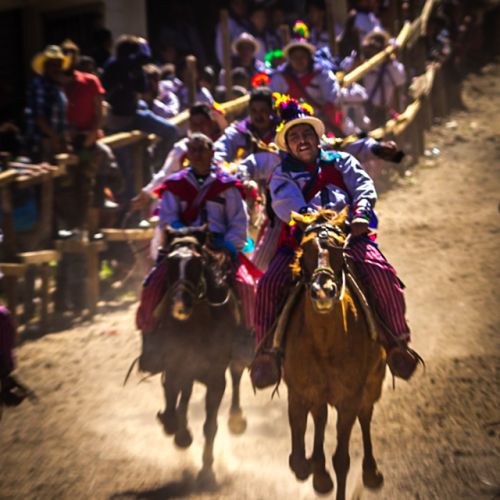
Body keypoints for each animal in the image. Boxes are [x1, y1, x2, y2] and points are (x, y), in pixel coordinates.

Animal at [152, 227, 246, 484]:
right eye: (170, 262)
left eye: (196, 263)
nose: (179, 305)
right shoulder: (175, 364)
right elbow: (172, 395)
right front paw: (178, 431)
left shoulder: (216, 378)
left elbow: (210, 425)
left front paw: (207, 470)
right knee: (185, 393)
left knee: (236, 377)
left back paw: (236, 419)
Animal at [284, 208, 384, 500]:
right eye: (305, 248)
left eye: (340, 248)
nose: (323, 291)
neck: (325, 342)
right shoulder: (298, 391)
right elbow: (298, 459)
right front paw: (311, 467)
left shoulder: (349, 398)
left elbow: (342, 459)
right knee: (319, 418)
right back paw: (319, 472)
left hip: (373, 382)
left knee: (365, 415)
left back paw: (370, 472)